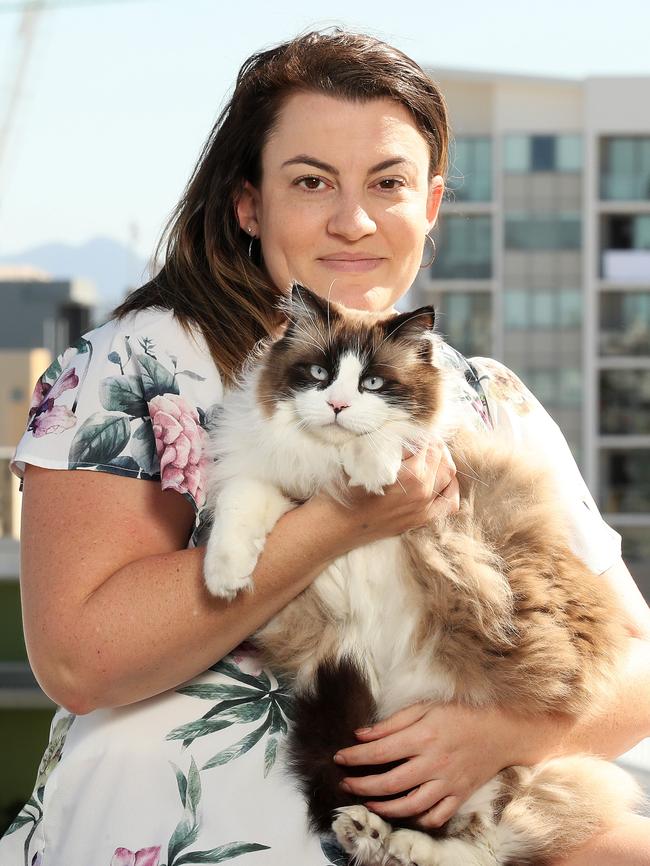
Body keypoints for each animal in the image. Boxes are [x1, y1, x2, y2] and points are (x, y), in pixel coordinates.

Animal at [201, 284, 636, 864]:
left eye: (373, 383)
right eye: (318, 374)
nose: (337, 406)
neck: (330, 470)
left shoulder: (439, 461)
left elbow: (393, 436)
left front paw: (374, 467)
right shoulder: (278, 487)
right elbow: (239, 507)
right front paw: (224, 578)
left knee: (480, 843)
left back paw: (395, 842)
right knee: (428, 824)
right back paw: (367, 832)